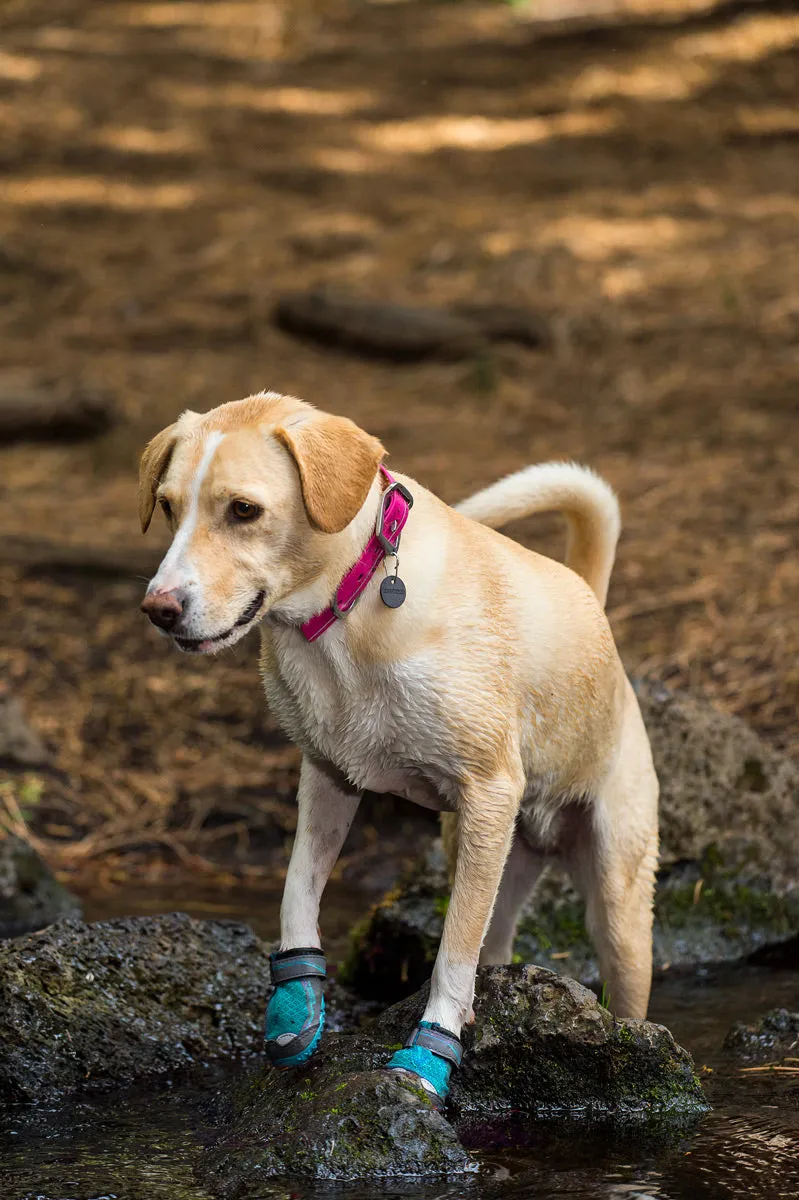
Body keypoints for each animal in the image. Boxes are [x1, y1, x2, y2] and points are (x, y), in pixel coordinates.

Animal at [139, 396, 657, 1104]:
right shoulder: (328, 777)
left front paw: (428, 1057)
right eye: (167, 506)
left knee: (613, 976)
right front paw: (297, 1004)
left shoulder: (489, 789)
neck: (350, 607)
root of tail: (591, 600)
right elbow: (298, 887)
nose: (157, 609)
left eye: (243, 509)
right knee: (493, 943)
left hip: (616, 903)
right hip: (491, 859)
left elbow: (450, 955)